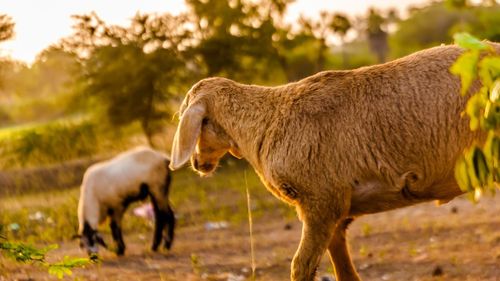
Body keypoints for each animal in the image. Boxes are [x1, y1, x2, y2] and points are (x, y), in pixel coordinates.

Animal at [169, 42, 500, 280]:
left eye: (194, 120)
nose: (197, 164)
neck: (265, 123)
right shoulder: (334, 211)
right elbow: (344, 271)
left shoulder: (321, 200)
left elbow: (300, 267)